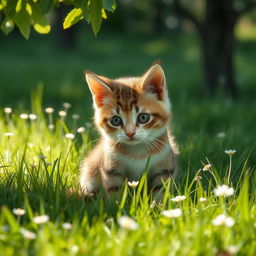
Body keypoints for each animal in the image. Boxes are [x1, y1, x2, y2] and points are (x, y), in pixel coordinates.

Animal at [79, 63, 178, 196]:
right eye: (115, 120)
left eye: (143, 117)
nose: (130, 133)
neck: (137, 152)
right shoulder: (111, 171)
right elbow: (115, 193)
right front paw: (116, 202)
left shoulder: (164, 170)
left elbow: (160, 191)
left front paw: (158, 202)